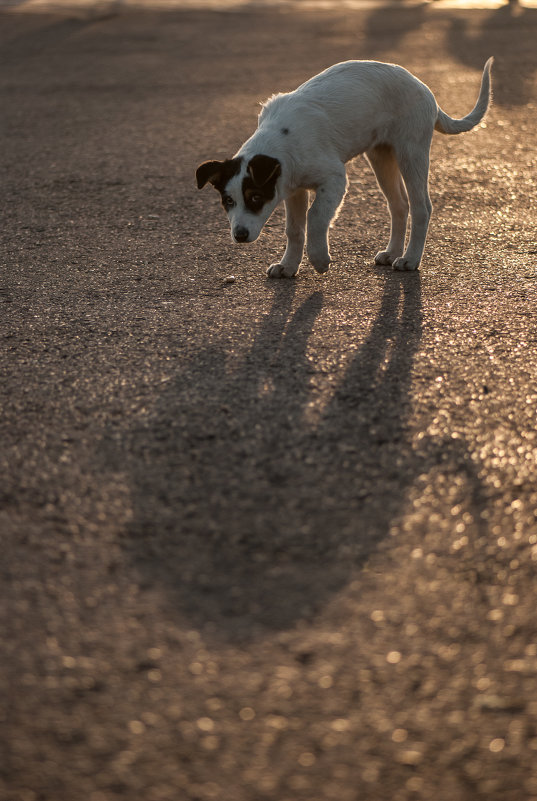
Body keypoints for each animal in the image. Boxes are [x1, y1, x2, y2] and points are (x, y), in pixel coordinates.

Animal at [195, 57, 492, 276]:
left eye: (255, 197)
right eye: (228, 201)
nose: (239, 235)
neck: (281, 139)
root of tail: (425, 89)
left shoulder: (334, 179)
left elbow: (315, 217)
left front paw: (319, 259)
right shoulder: (292, 188)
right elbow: (294, 229)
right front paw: (288, 266)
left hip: (412, 152)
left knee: (421, 208)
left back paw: (410, 259)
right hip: (381, 157)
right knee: (399, 205)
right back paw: (392, 253)